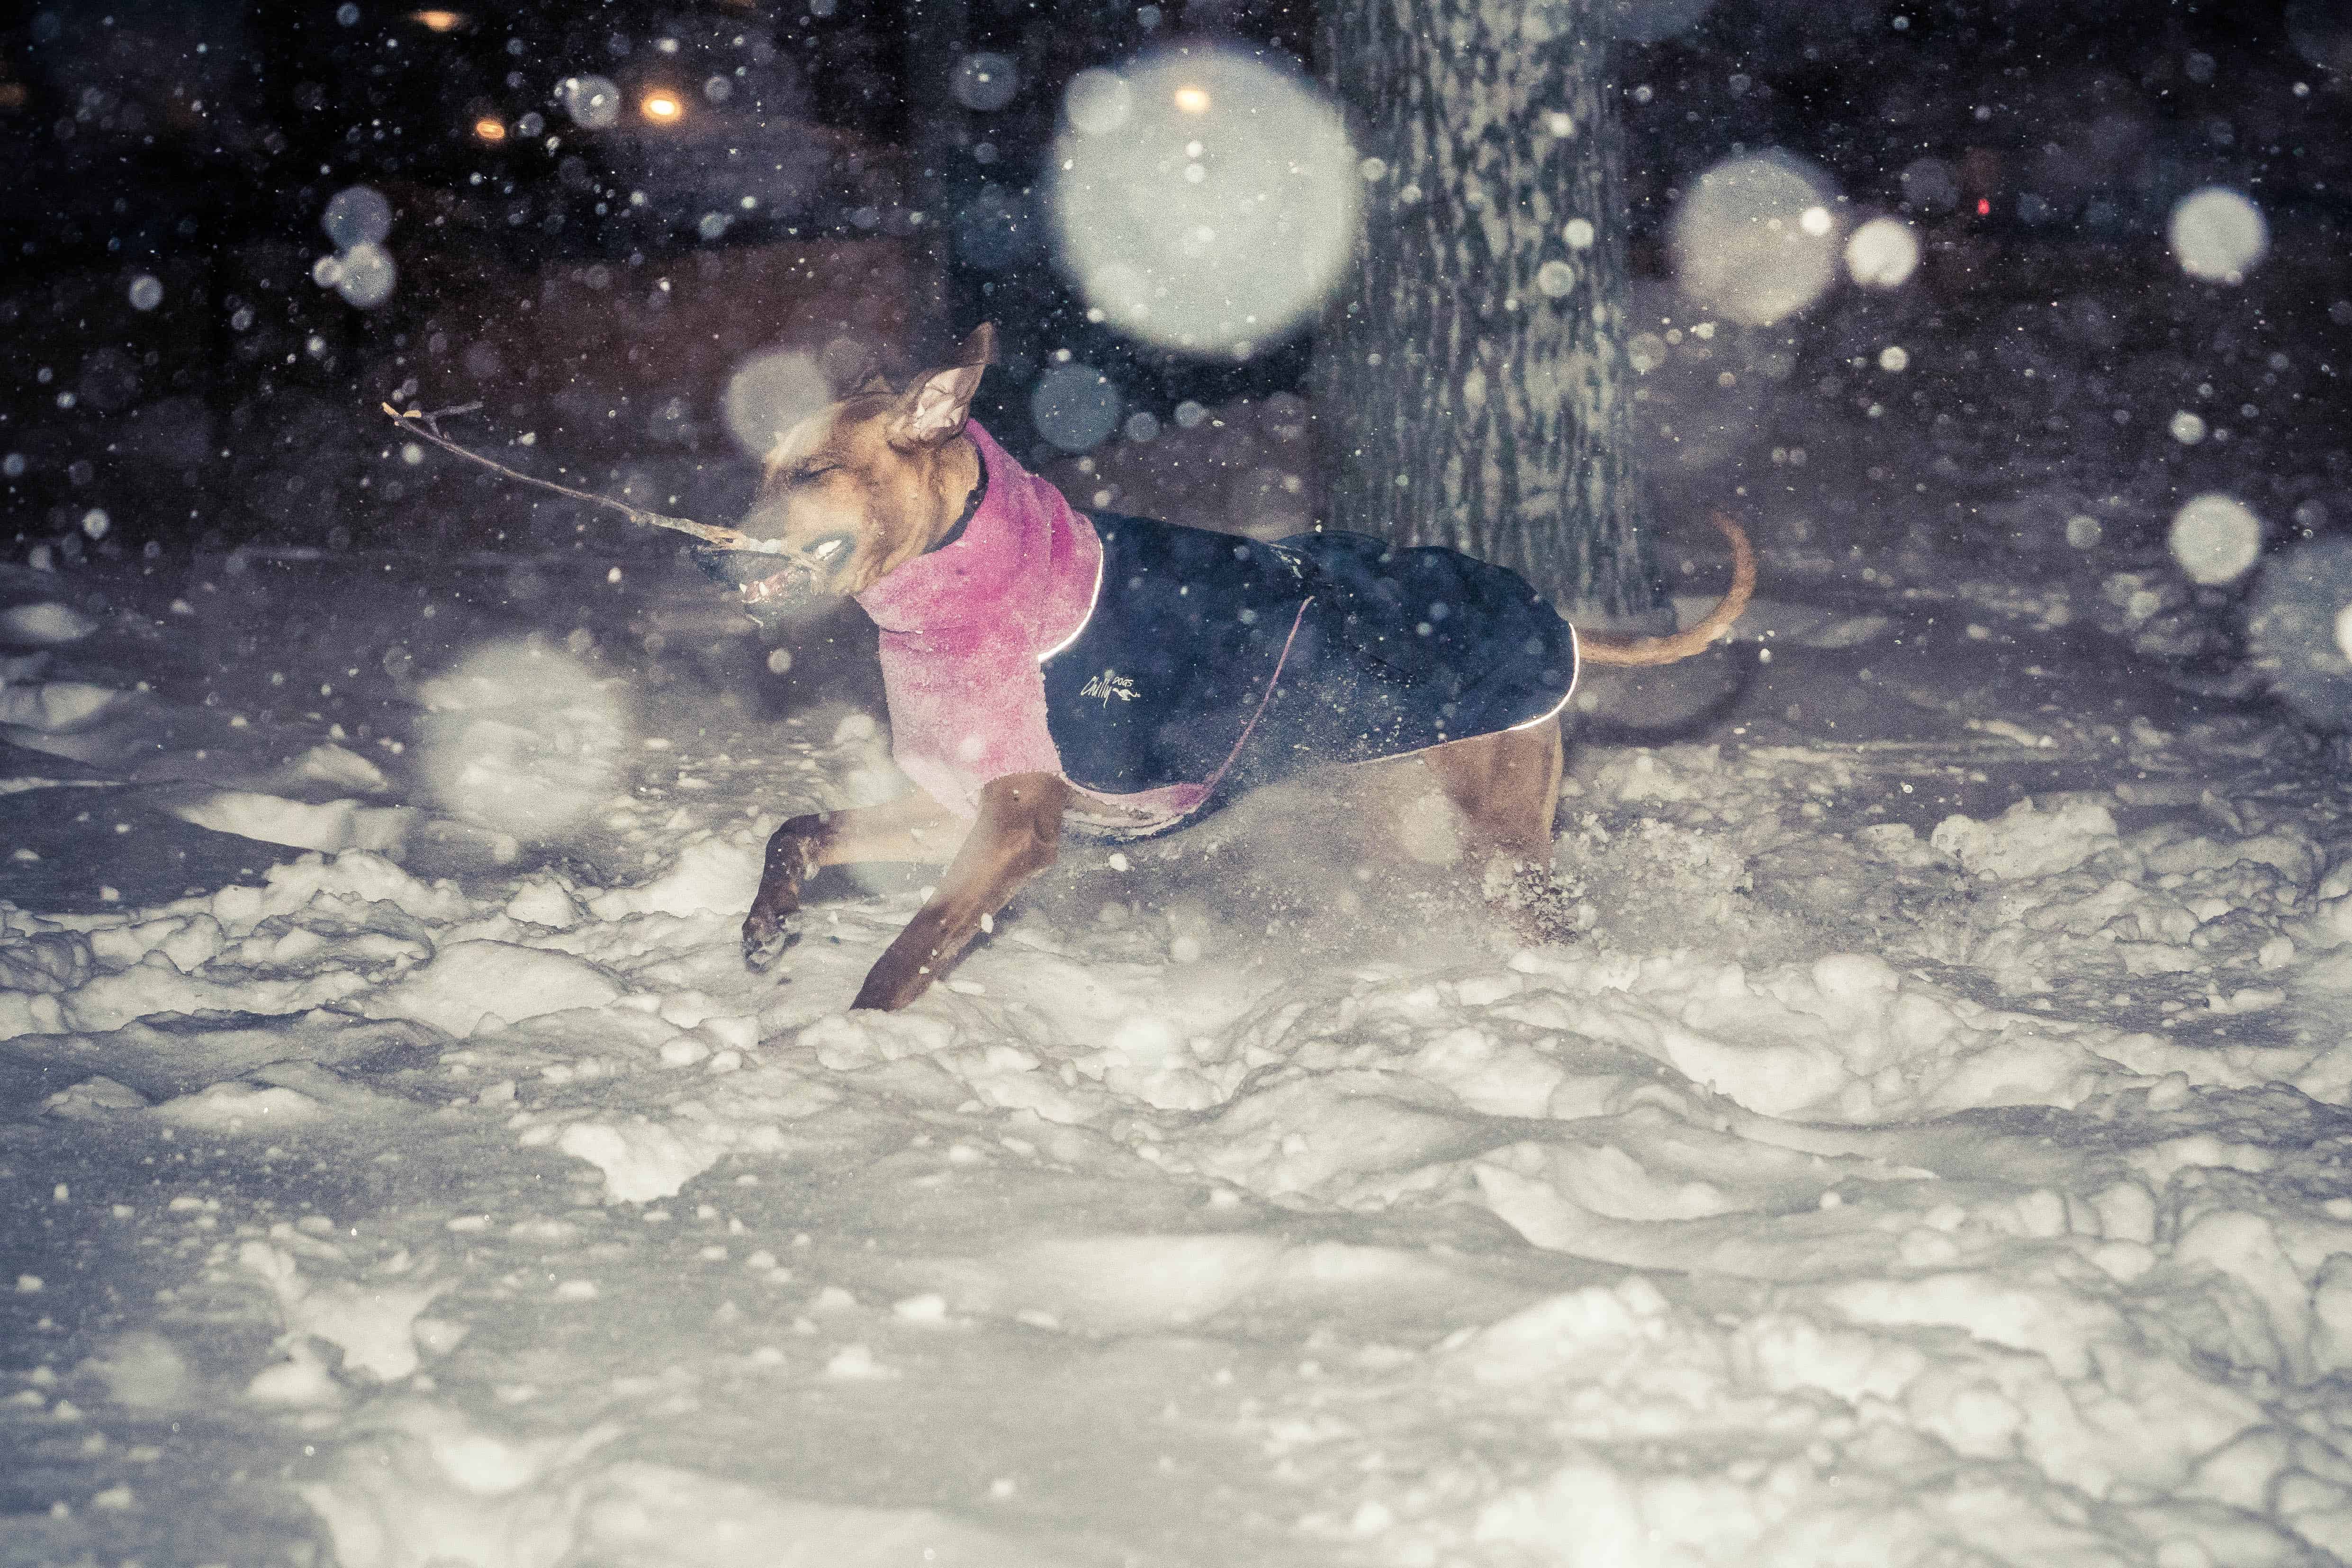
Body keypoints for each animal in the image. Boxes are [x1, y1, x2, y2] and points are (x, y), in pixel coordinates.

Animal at [724, 333, 1759, 1020]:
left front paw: (851, 1043)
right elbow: (800, 829)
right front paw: (769, 919)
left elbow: (903, 957)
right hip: (1408, 813)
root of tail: (1553, 617)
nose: (714, 555)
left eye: (812, 473)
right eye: (764, 470)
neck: (970, 582)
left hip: (1494, 828)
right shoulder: (954, 803)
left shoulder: (1017, 825)